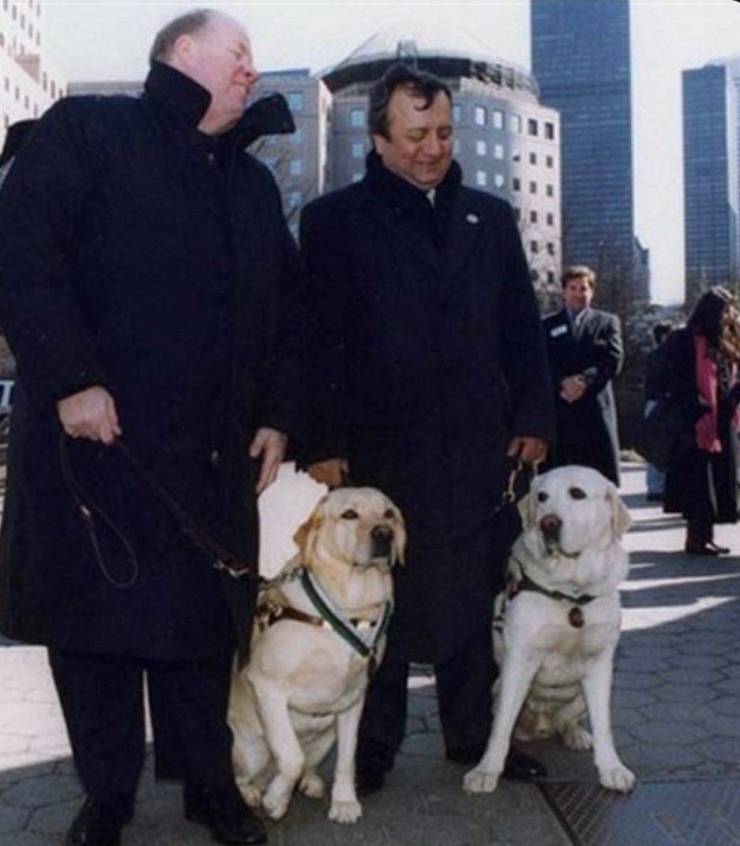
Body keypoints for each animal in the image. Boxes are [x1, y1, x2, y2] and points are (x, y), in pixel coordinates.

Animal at [231, 486, 404, 824]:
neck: (350, 607)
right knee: (246, 775)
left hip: (325, 739)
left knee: (308, 765)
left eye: (388, 513)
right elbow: (290, 756)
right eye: (349, 514)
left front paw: (345, 801)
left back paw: (309, 782)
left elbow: (347, 758)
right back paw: (253, 792)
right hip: (250, 748)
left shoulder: (354, 698)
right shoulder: (267, 687)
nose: (385, 534)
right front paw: (276, 800)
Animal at [466, 468, 632, 800]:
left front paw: (612, 769)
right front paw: (486, 770)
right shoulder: (519, 661)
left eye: (577, 493)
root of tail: (542, 725)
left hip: (580, 694)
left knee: (570, 721)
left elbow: (603, 724)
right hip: (496, 686)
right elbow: (501, 727)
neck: (571, 591)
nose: (548, 523)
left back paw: (576, 734)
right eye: (541, 497)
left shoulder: (600, 663)